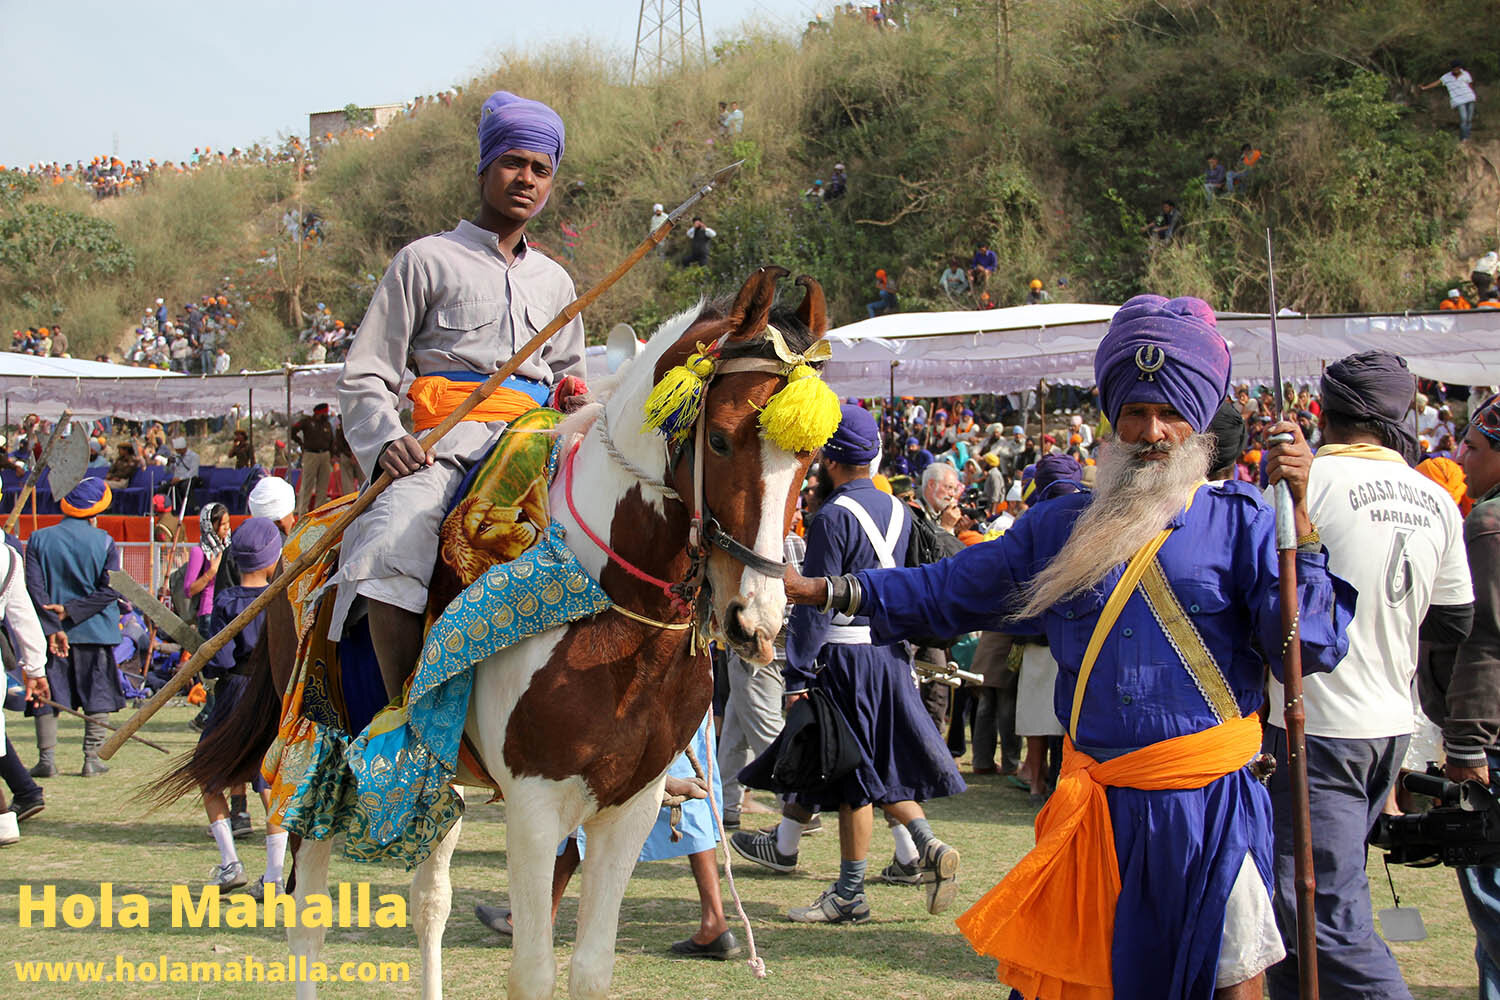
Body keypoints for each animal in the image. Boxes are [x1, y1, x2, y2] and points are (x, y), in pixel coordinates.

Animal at [156, 268, 834, 1000]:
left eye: (809, 458)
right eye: (721, 440)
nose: (754, 619)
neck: (614, 614)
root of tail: (305, 529)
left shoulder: (632, 806)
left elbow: (590, 970)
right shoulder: (535, 807)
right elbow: (533, 971)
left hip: (436, 772)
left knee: (429, 902)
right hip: (316, 746)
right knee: (308, 920)